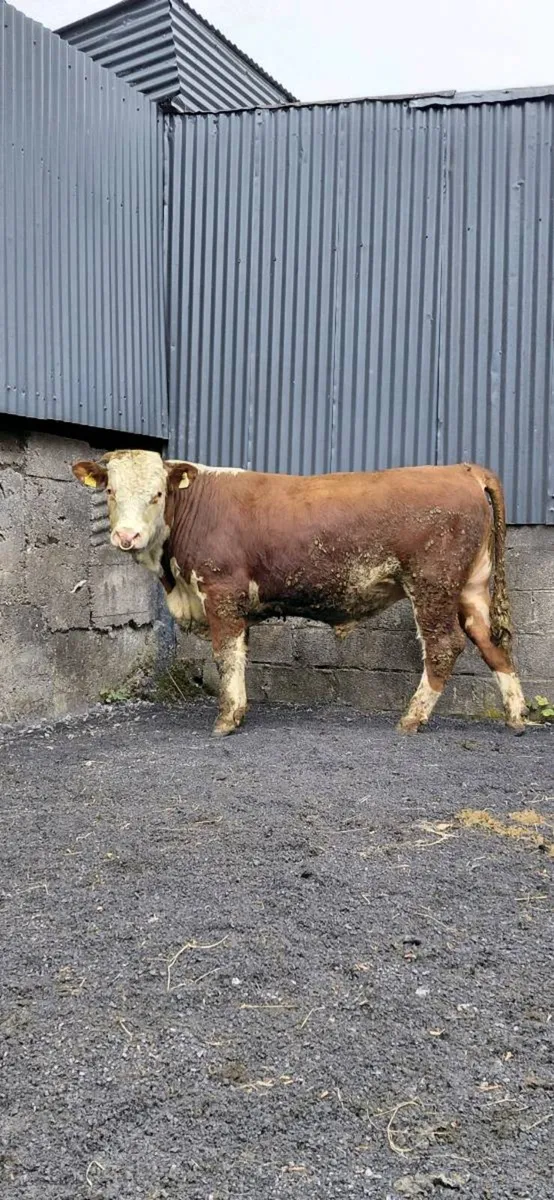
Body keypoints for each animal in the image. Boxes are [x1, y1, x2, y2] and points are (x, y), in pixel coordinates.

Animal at [72, 451, 527, 737]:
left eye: (158, 494)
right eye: (110, 491)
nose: (126, 536)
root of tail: (461, 469)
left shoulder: (221, 591)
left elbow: (226, 656)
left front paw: (227, 719)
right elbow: (240, 656)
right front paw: (239, 711)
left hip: (433, 584)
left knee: (444, 646)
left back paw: (411, 719)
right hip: (470, 588)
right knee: (492, 643)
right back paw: (516, 717)